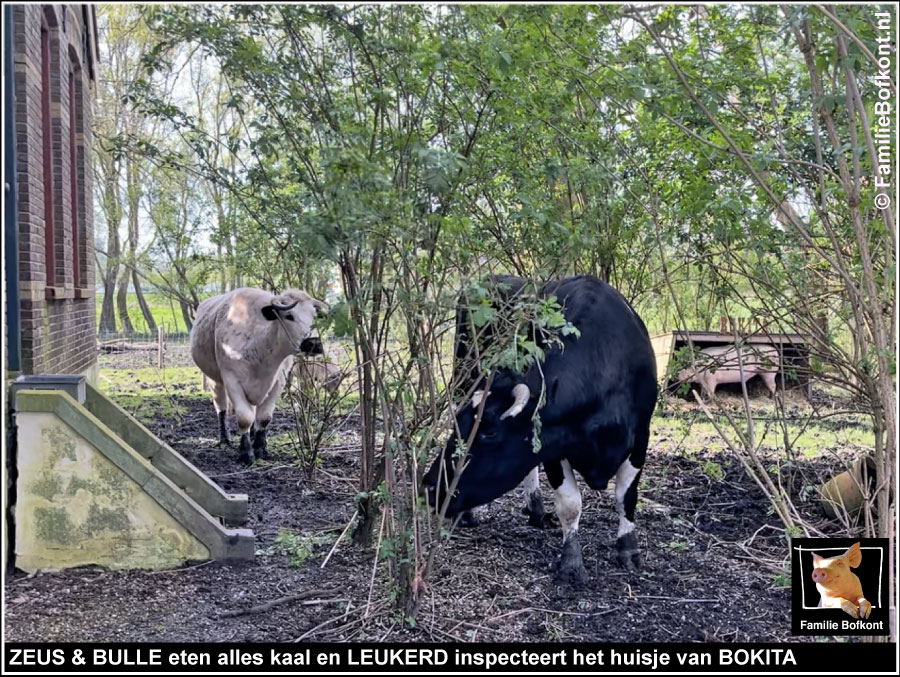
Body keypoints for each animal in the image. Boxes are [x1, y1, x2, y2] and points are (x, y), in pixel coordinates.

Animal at [426, 274, 656, 580]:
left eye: (489, 432)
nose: (430, 485)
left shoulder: (642, 434)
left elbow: (626, 496)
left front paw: (628, 549)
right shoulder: (554, 446)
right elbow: (570, 504)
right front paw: (571, 561)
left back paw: (535, 510)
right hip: (463, 371)